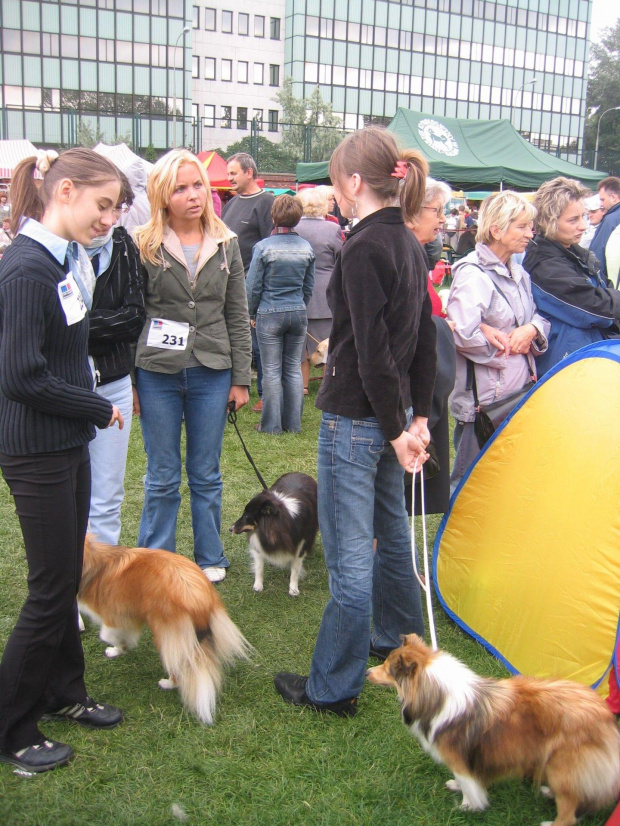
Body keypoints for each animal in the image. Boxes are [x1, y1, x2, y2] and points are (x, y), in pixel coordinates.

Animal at [78, 536, 251, 720]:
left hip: (167, 636)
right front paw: (121, 648)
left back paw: (167, 683)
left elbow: (107, 635)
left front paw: (117, 649)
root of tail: (196, 599)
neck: (95, 564)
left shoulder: (115, 616)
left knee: (178, 665)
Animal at [368, 636, 620, 820]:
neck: (435, 694)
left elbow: (470, 786)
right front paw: (456, 787)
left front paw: (467, 807)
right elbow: (465, 782)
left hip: (562, 766)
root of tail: (606, 719)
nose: (368, 672)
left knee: (568, 815)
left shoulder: (458, 758)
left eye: (388, 669)